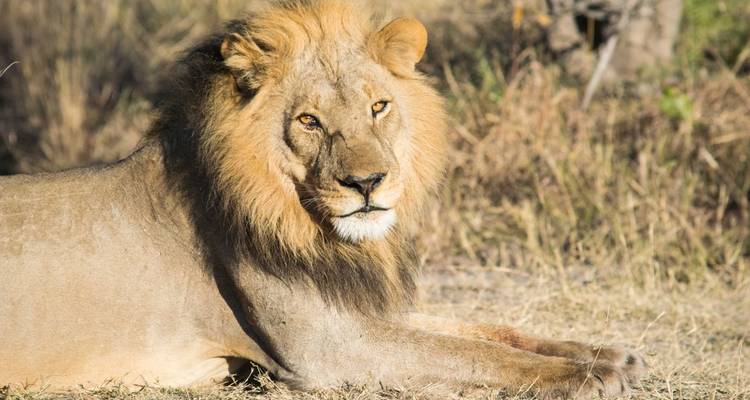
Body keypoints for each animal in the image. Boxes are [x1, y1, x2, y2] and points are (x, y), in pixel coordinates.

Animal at [0, 1, 645, 398]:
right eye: (309, 121)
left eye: (378, 107)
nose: (368, 183)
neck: (315, 228)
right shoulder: (327, 347)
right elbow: (473, 355)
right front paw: (587, 376)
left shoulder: (356, 307)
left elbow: (485, 330)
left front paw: (610, 355)